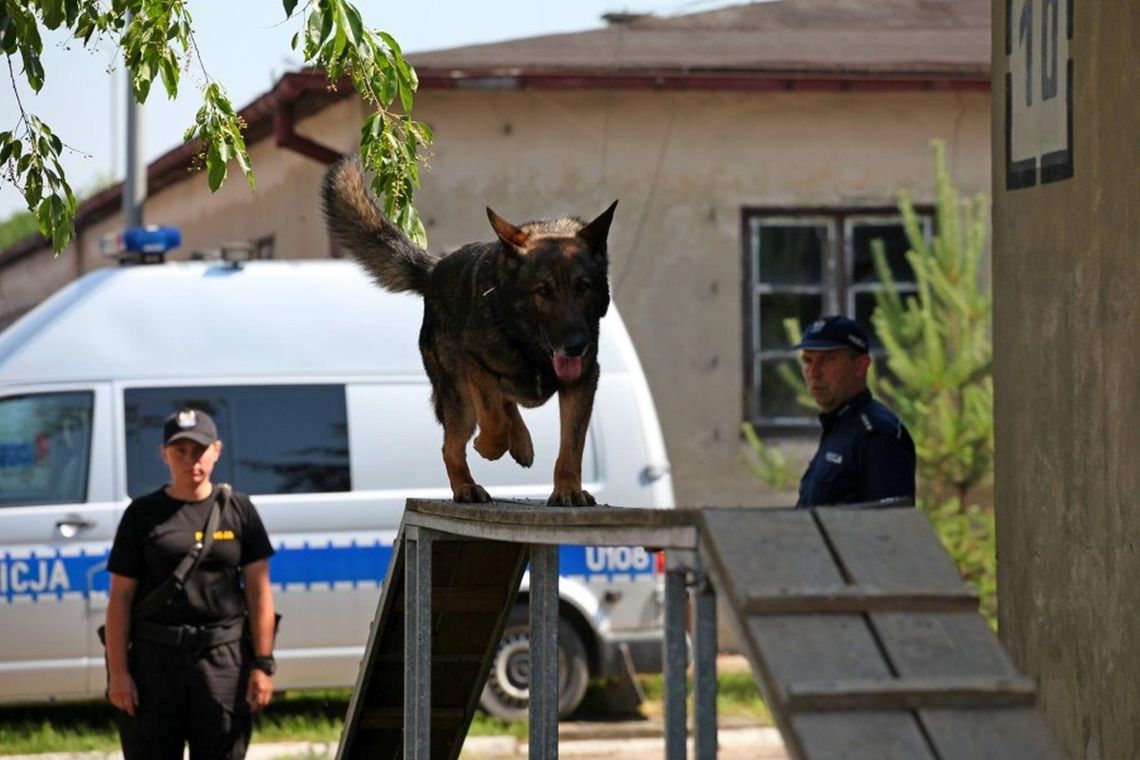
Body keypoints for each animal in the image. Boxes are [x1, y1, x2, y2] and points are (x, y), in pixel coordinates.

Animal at [321, 159, 620, 505]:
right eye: (542, 292)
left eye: (583, 287)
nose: (575, 345)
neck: (528, 344)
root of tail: (434, 271)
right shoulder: (474, 363)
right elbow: (494, 418)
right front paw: (488, 446)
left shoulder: (583, 379)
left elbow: (571, 444)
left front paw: (568, 489)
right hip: (458, 397)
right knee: (452, 443)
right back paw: (467, 484)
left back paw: (521, 444)